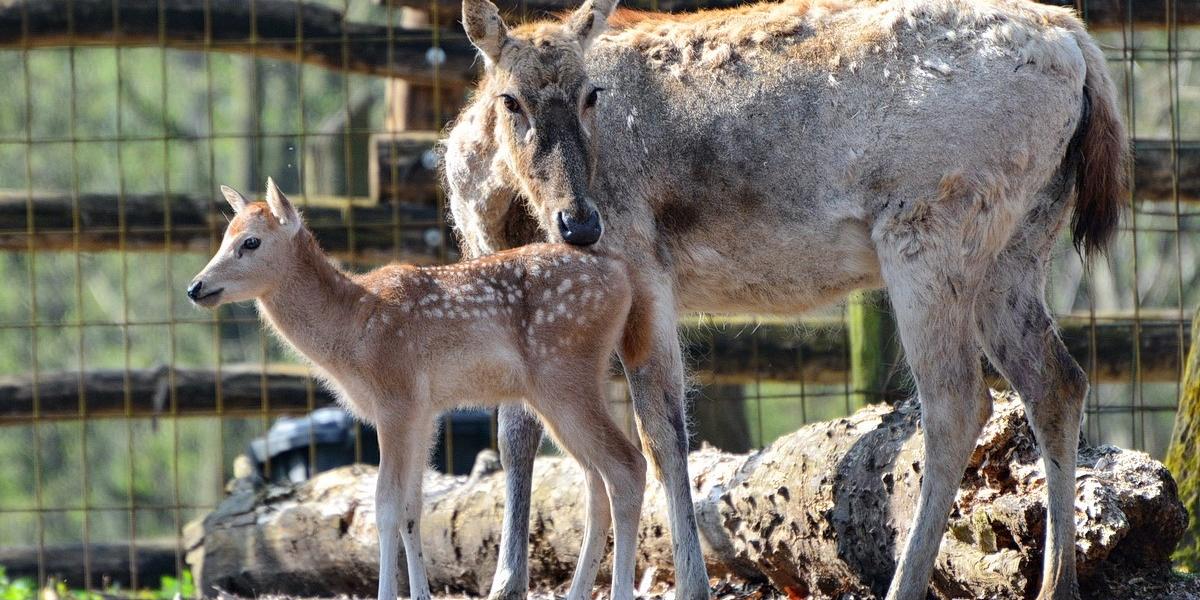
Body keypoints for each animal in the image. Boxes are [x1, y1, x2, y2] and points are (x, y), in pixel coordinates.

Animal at [189, 180, 657, 600]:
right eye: (224, 237)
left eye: (250, 242)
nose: (196, 287)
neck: (352, 328)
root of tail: (623, 277)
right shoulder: (423, 411)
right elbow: (414, 506)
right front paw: (420, 594)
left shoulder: (395, 398)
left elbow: (385, 505)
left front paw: (387, 594)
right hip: (571, 384)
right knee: (596, 481)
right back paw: (578, 591)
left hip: (562, 377)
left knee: (627, 465)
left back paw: (619, 591)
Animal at [446, 0, 1128, 597]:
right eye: (511, 99)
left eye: (593, 95)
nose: (581, 222)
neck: (499, 207)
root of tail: (1079, 45)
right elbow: (519, 431)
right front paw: (508, 584)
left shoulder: (642, 261)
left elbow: (659, 435)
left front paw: (688, 584)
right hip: (1018, 248)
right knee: (1057, 381)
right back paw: (1057, 584)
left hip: (931, 230)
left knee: (958, 401)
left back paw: (908, 583)